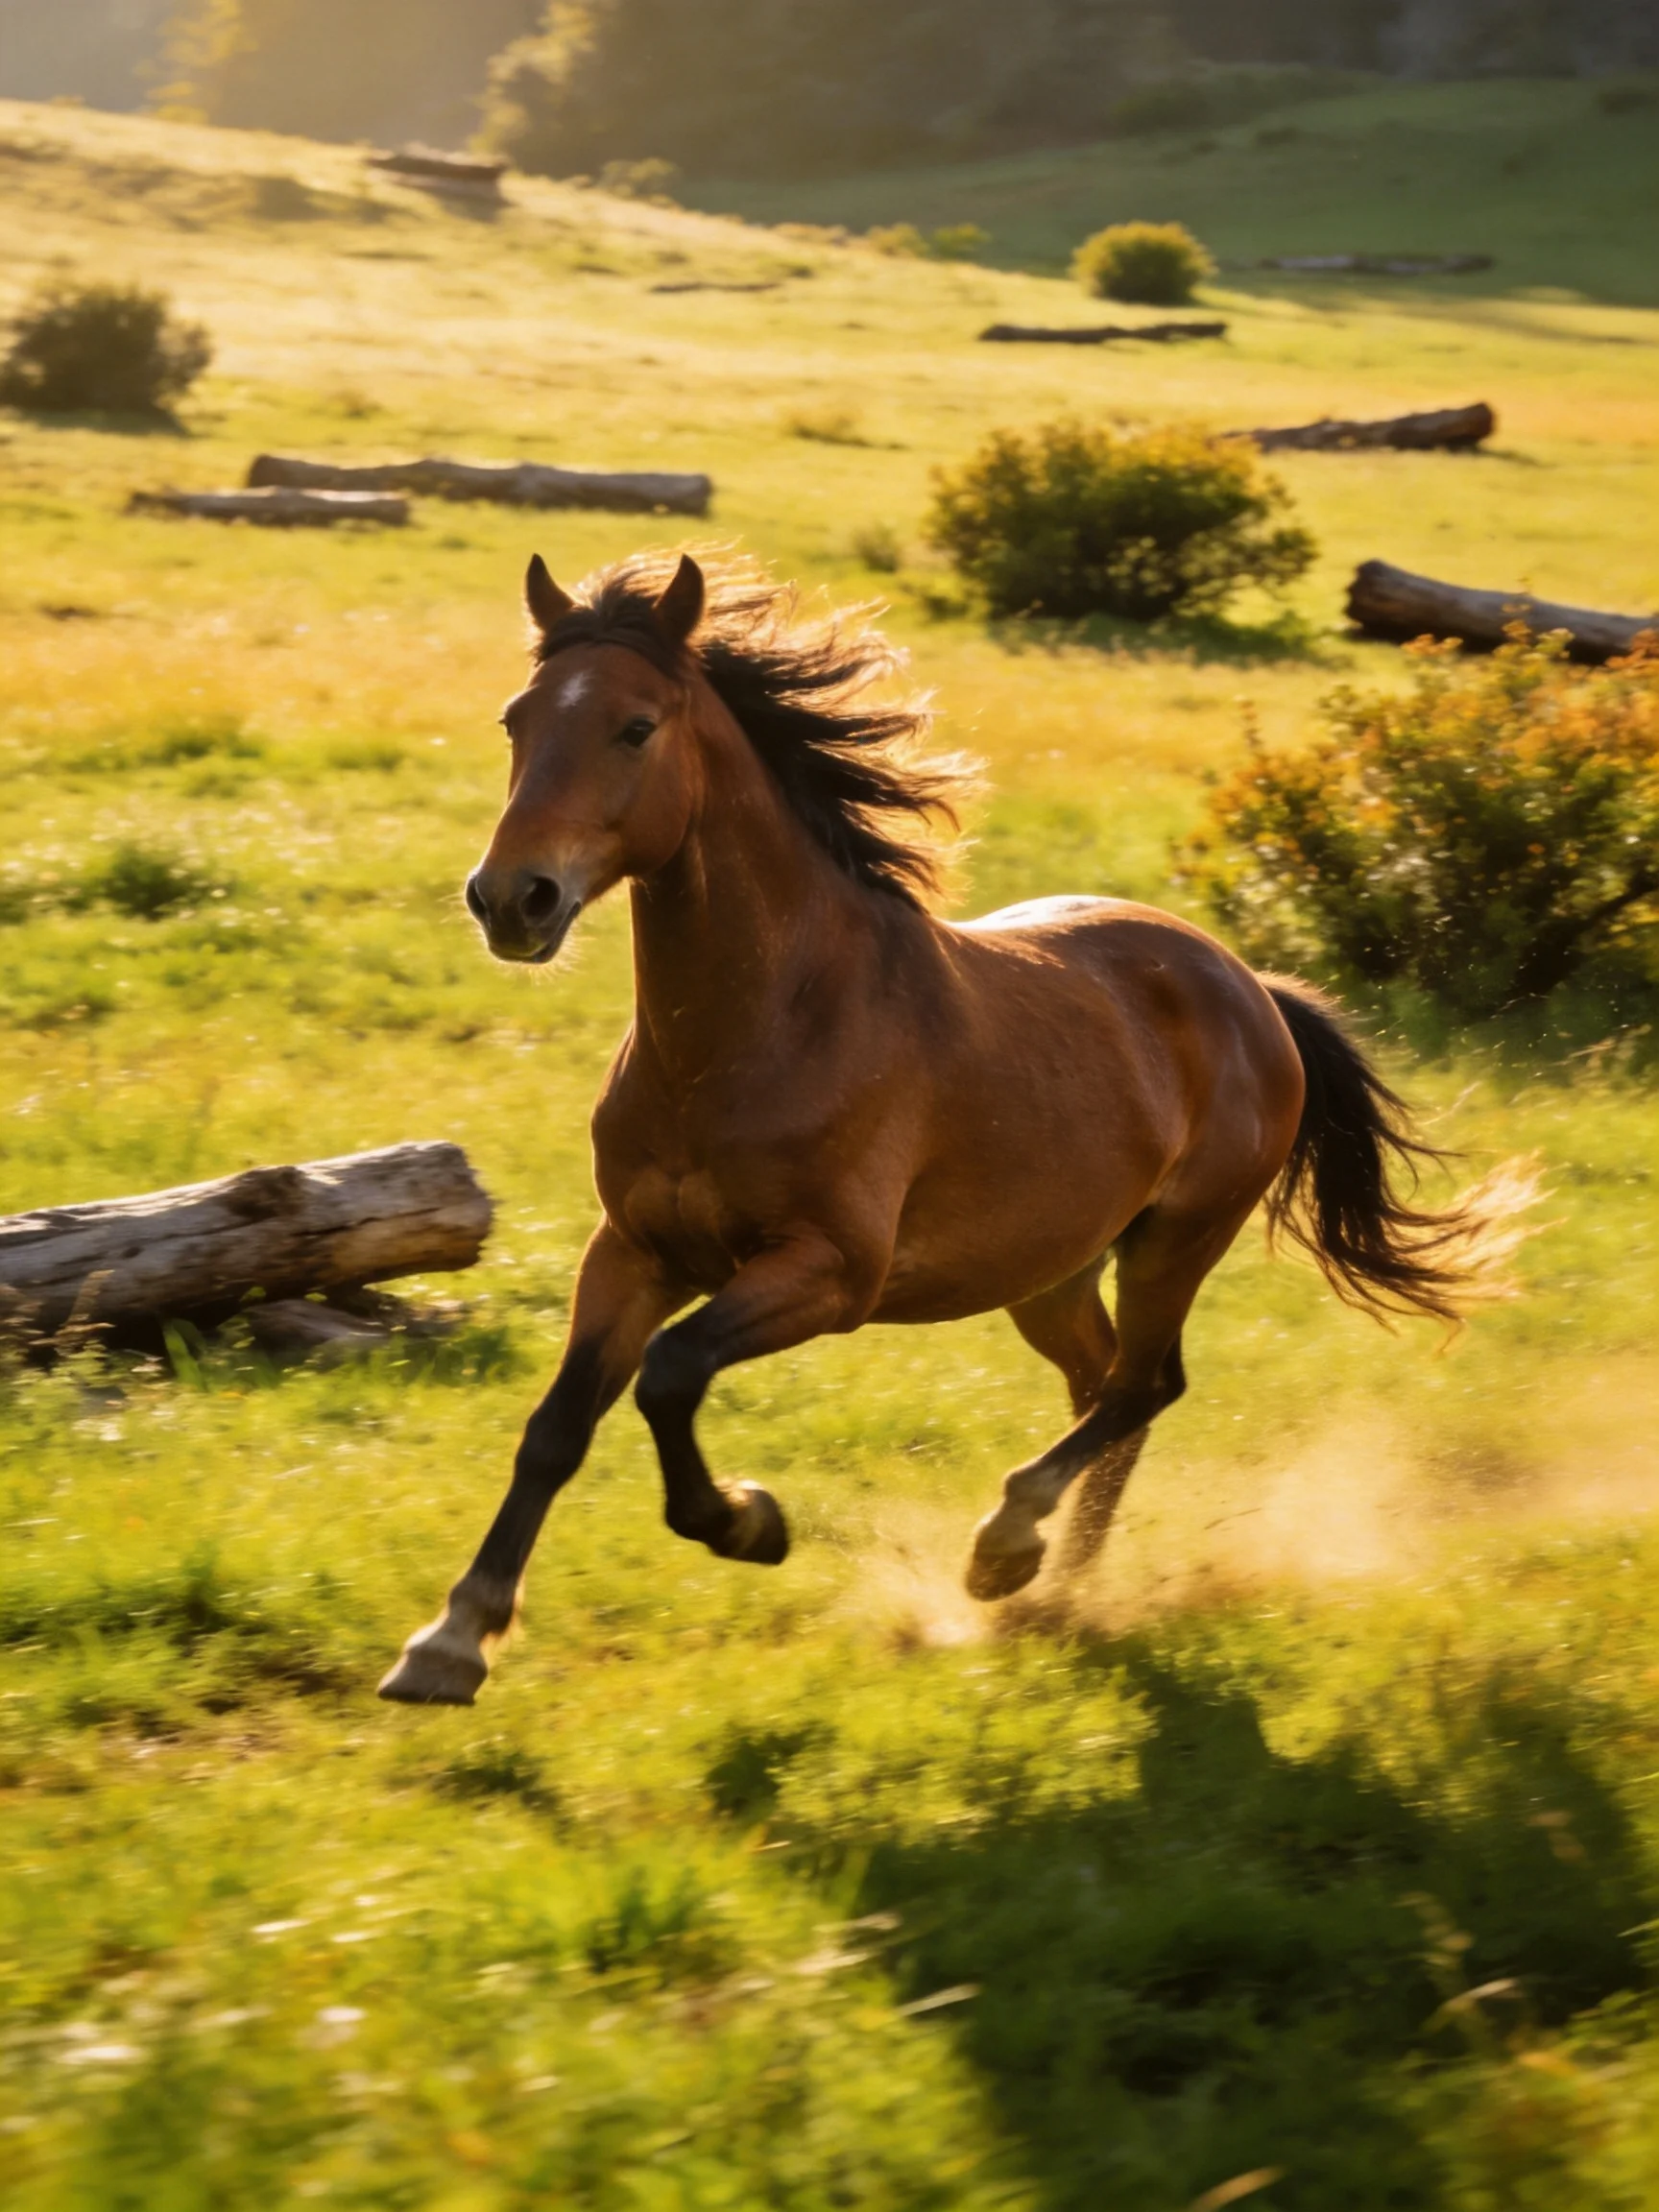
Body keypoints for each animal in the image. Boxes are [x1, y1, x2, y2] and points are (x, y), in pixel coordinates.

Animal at [379, 549, 1511, 1706]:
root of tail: (1254, 991)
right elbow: (557, 1426)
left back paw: (1009, 1551)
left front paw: (748, 1523)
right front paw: (450, 1641)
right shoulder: (633, 1251)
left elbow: (672, 1371)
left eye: (636, 726)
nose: (511, 898)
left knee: (1144, 1385)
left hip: (1176, 1240)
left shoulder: (832, 1273)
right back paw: (1058, 1589)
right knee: (1107, 1387)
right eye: (517, 719)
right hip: (1050, 1272)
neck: (758, 1031)